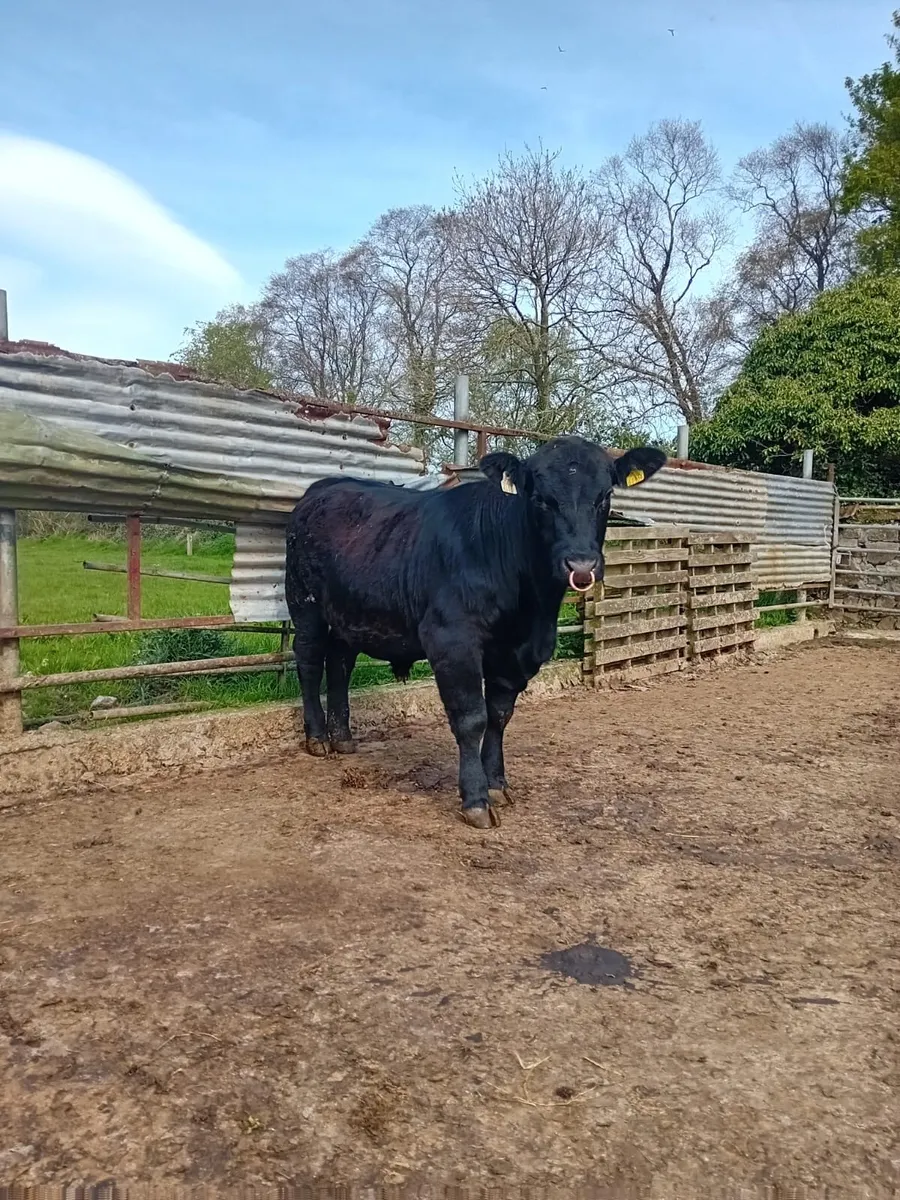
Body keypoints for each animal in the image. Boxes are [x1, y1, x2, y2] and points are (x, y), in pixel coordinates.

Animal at [285, 435, 667, 829]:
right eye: (539, 498)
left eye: (605, 496)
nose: (581, 564)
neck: (530, 608)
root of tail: (326, 486)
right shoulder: (452, 641)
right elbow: (472, 719)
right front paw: (476, 799)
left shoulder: (517, 652)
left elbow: (499, 715)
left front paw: (497, 783)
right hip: (305, 603)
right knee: (309, 660)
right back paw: (318, 738)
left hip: (348, 613)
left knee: (340, 663)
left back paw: (343, 737)